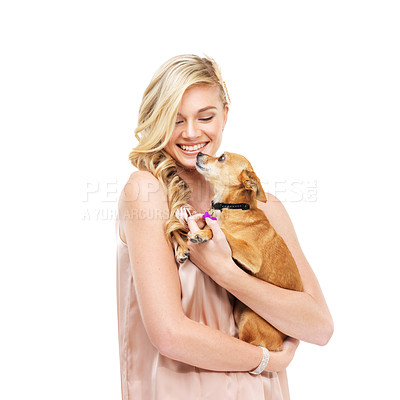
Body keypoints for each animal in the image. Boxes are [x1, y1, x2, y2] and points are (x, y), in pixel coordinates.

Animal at [177, 152, 302, 350]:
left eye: (221, 158)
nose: (199, 153)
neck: (230, 208)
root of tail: (281, 340)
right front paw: (183, 249)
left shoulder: (253, 257)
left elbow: (222, 232)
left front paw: (202, 233)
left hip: (249, 316)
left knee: (246, 344)